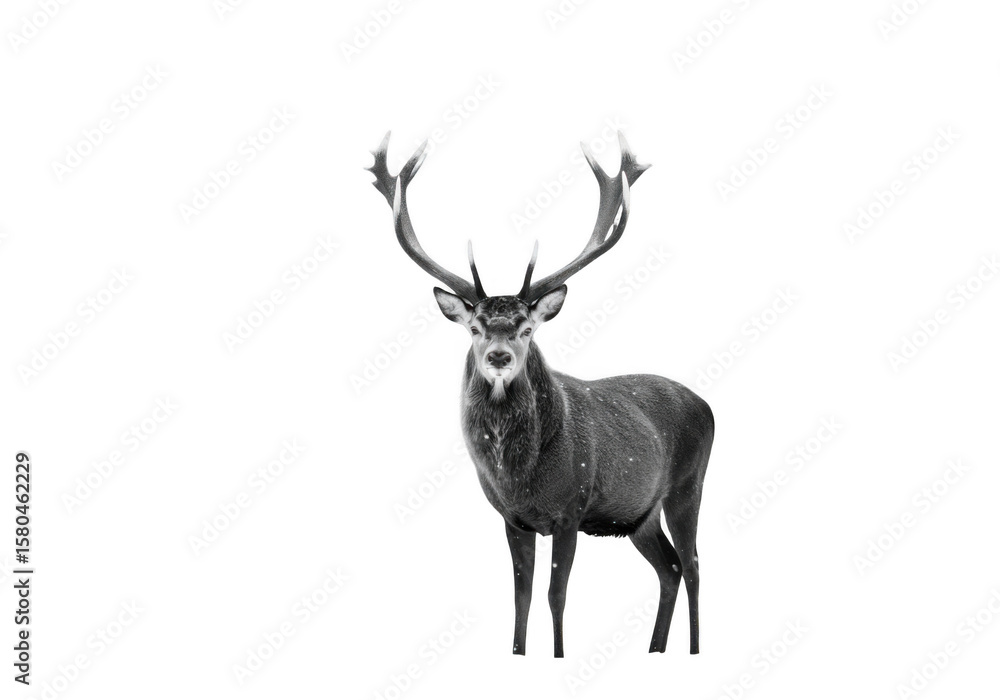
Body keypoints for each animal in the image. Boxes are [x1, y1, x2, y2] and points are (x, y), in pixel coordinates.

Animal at [367, 131, 714, 658]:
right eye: (474, 327)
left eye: (527, 329)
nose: (499, 357)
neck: (519, 477)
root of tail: (709, 405)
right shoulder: (513, 518)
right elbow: (522, 597)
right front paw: (517, 653)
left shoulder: (572, 509)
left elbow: (556, 595)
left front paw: (559, 656)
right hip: (640, 516)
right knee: (669, 568)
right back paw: (655, 650)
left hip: (688, 486)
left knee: (693, 565)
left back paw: (694, 650)